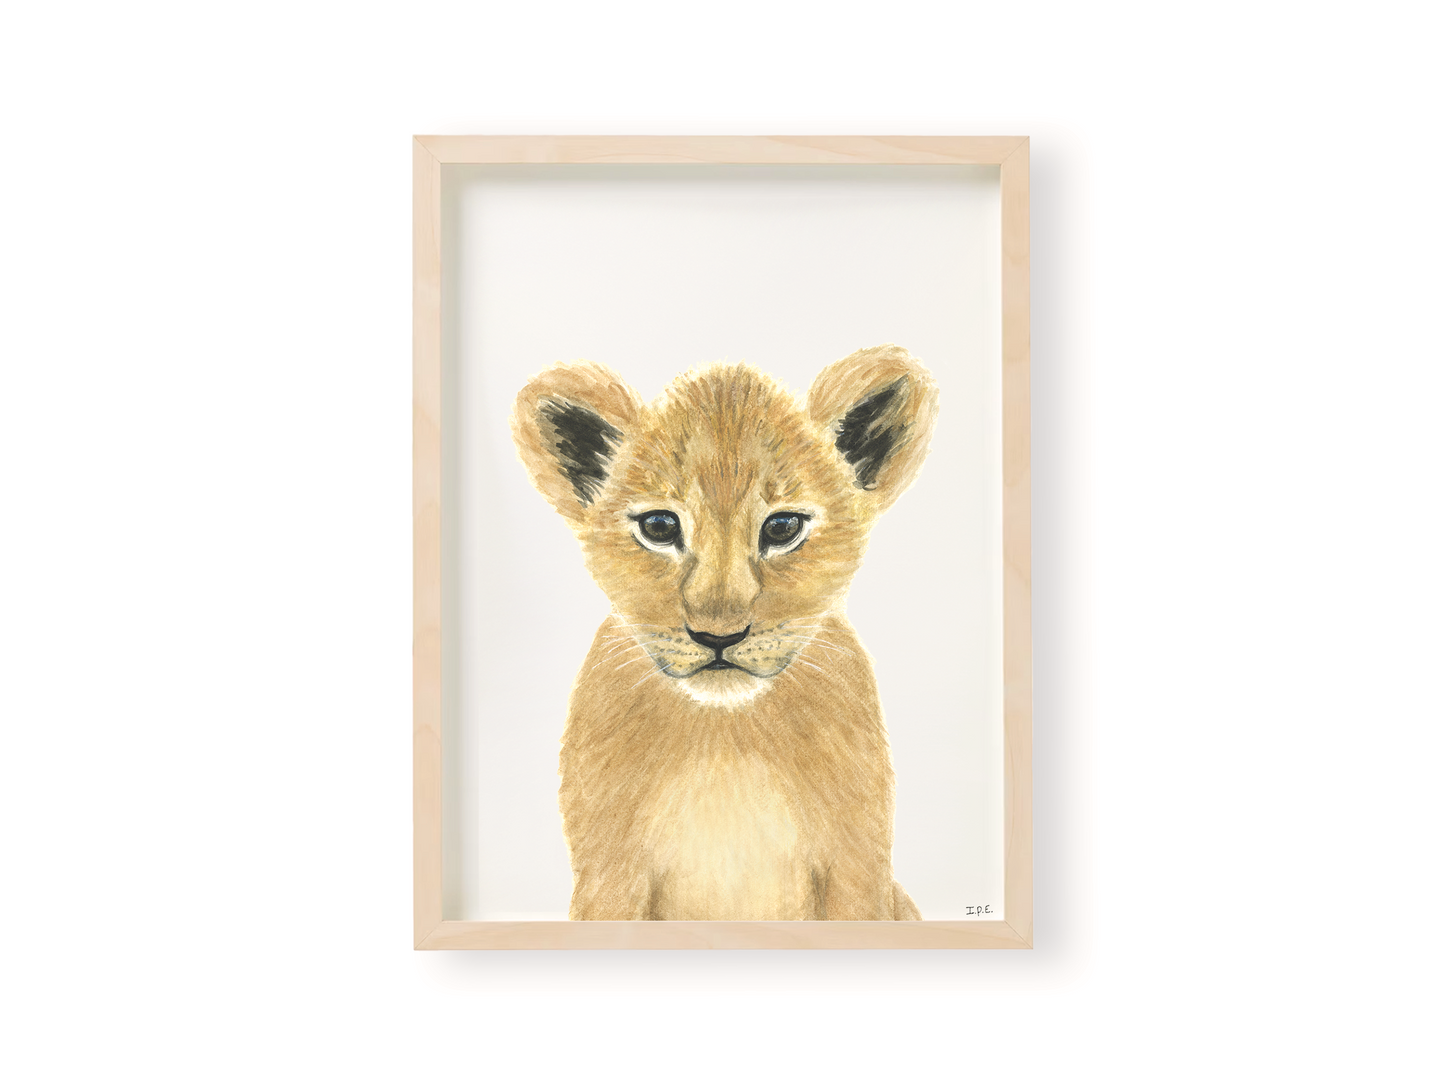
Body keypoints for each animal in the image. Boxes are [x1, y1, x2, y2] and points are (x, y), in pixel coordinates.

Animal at [510, 344, 939, 921]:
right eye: (660, 527)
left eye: (782, 528)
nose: (718, 637)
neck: (725, 737)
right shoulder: (608, 876)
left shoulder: (857, 868)